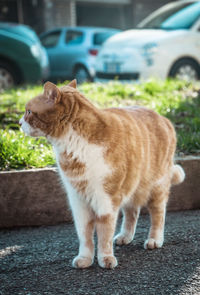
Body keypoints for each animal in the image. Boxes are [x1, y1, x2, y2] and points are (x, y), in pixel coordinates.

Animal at [19, 81, 185, 270]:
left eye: (29, 112)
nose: (19, 122)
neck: (73, 149)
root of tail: (164, 118)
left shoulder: (106, 199)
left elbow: (105, 232)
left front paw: (105, 257)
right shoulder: (78, 202)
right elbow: (85, 235)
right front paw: (85, 258)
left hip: (157, 187)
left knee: (158, 214)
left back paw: (154, 239)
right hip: (131, 186)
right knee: (132, 212)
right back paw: (125, 236)